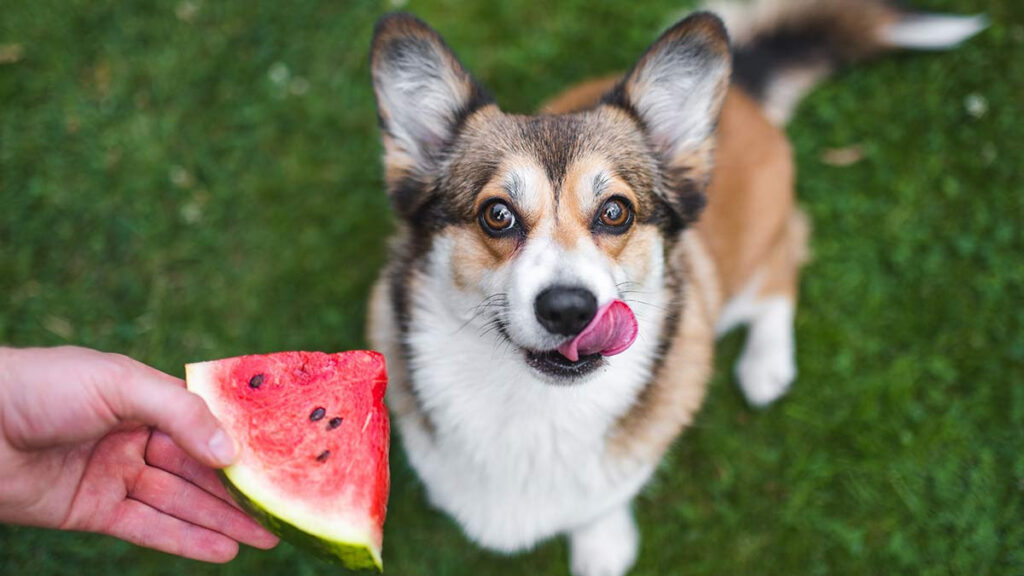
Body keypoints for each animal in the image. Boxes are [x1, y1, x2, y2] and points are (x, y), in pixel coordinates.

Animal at [366, 2, 983, 569]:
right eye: (496, 215)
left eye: (615, 212)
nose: (569, 309)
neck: (534, 407)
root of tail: (743, 88)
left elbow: (602, 504)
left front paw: (603, 547)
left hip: (751, 264)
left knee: (785, 262)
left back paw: (766, 364)